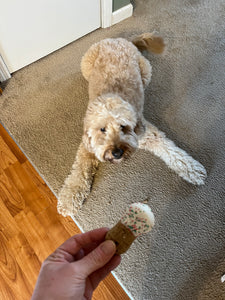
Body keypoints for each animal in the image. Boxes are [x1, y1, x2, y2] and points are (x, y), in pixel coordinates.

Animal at [57, 32, 207, 216]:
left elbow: (174, 153)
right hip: (86, 64)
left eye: (123, 126)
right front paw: (69, 199)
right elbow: (79, 171)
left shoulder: (148, 134)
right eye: (102, 129)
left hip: (146, 69)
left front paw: (192, 170)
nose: (116, 153)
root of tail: (119, 40)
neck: (112, 93)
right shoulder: (88, 147)